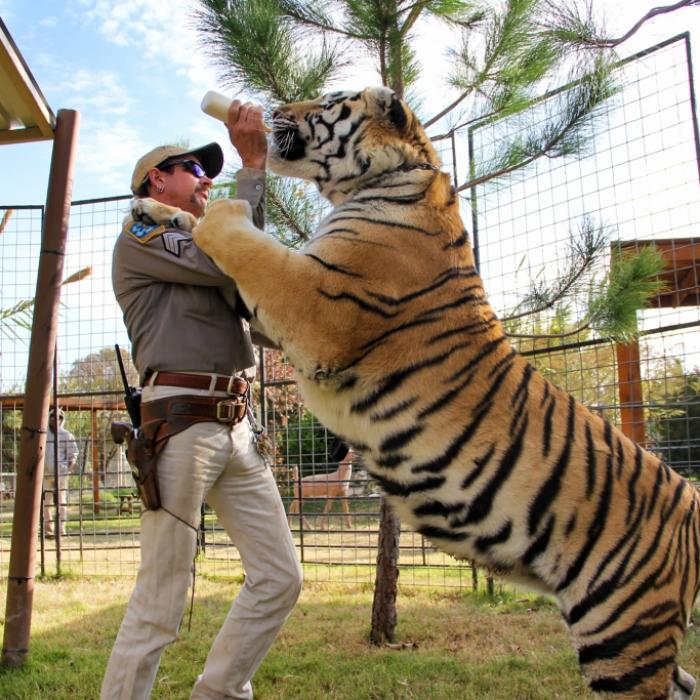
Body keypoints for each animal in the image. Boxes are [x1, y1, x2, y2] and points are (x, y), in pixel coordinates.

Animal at [132, 86, 700, 698]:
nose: (274, 109)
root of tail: (692, 503)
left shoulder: (314, 303)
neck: (382, 180)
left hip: (622, 631)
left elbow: (240, 237)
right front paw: (154, 211)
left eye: (327, 101)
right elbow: (205, 232)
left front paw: (217, 207)